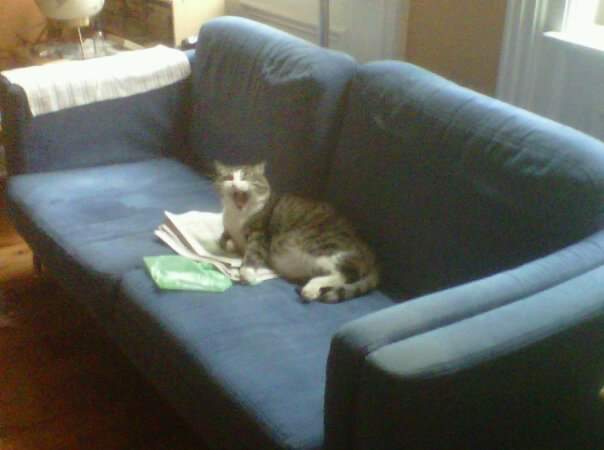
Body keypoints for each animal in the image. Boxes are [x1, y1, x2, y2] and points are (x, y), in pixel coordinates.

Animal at [213, 161, 379, 303]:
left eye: (245, 177)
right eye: (228, 177)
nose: (234, 183)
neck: (237, 216)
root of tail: (369, 250)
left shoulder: (260, 232)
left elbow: (253, 251)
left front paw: (246, 273)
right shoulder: (229, 229)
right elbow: (224, 237)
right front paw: (225, 244)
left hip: (323, 247)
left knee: (345, 274)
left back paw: (310, 289)